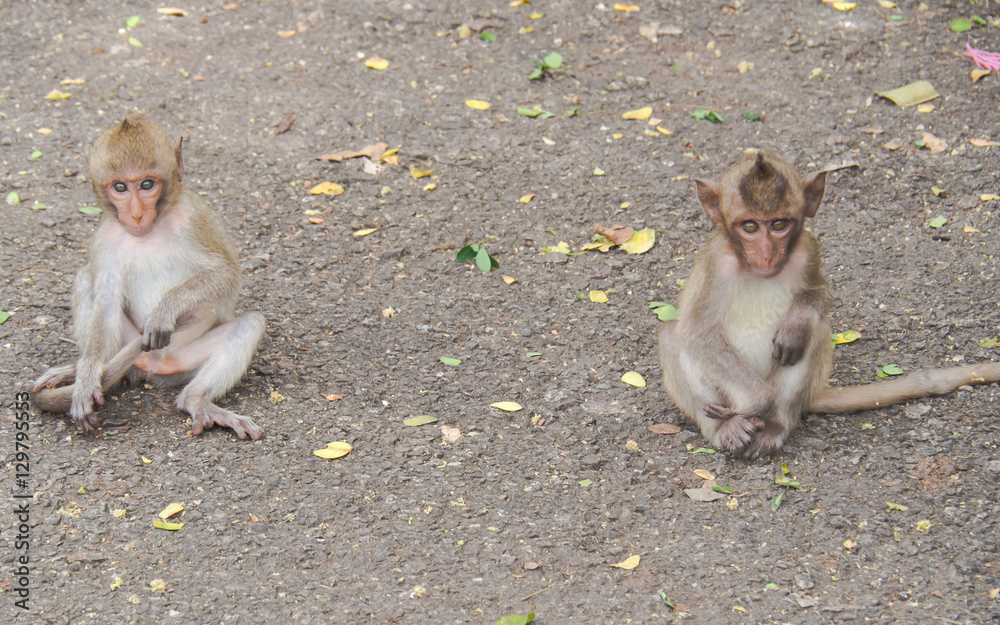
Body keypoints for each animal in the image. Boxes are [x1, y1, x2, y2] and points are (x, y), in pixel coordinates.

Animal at [30, 114, 266, 440]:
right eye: (119, 187)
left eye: (146, 185)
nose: (136, 214)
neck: (150, 230)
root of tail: (153, 366)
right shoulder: (104, 238)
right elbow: (105, 307)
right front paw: (88, 373)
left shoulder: (193, 218)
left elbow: (226, 274)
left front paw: (165, 309)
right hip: (129, 343)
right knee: (85, 279)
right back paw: (82, 370)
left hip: (182, 356)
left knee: (251, 323)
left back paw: (196, 400)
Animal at [658, 150, 1000, 459]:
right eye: (750, 226)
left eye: (779, 224)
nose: (766, 254)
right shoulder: (716, 262)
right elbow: (698, 331)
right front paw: (755, 400)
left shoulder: (808, 248)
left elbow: (821, 295)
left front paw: (798, 319)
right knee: (673, 335)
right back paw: (727, 427)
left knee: (812, 333)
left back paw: (776, 424)